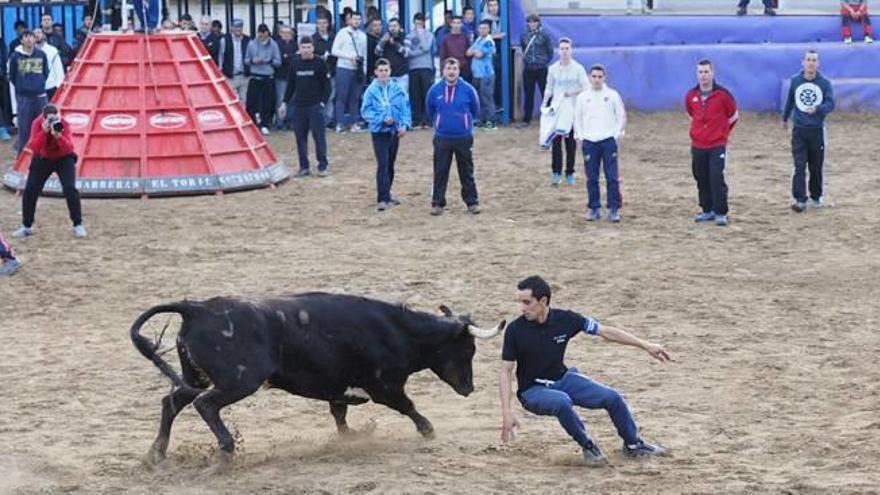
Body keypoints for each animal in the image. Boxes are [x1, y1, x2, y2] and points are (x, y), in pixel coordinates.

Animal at [127, 292, 506, 464]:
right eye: (469, 349)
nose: (469, 388)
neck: (397, 330)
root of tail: (197, 307)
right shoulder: (385, 386)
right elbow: (409, 407)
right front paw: (428, 431)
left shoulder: (340, 387)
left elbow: (339, 413)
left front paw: (348, 438)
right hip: (238, 381)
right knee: (205, 405)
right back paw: (226, 448)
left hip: (195, 376)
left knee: (172, 401)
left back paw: (156, 453)